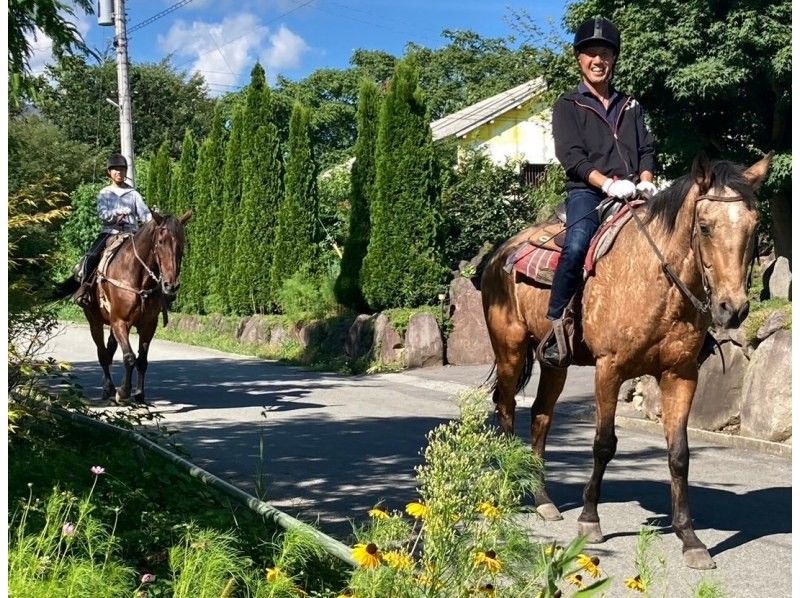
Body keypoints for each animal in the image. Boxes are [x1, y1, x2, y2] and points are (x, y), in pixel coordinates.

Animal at [69, 211, 191, 404]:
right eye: (160, 241)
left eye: (181, 243)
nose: (171, 285)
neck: (137, 278)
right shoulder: (120, 322)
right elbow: (129, 357)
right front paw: (124, 392)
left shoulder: (148, 325)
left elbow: (142, 360)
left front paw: (140, 394)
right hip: (94, 321)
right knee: (102, 354)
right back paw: (108, 388)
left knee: (110, 350)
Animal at [478, 152, 772, 568]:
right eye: (704, 226)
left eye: (754, 225)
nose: (733, 309)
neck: (657, 282)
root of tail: (499, 256)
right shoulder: (609, 369)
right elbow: (604, 443)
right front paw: (590, 520)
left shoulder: (680, 374)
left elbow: (679, 454)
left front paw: (690, 539)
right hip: (511, 351)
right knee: (505, 409)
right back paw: (511, 482)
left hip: (554, 363)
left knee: (540, 416)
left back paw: (542, 498)